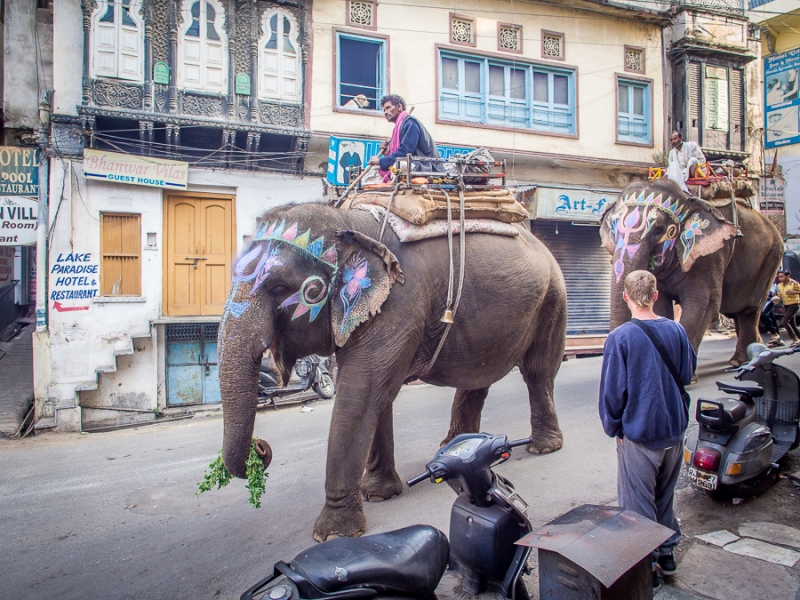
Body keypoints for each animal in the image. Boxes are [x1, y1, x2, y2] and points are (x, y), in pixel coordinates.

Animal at [217, 203, 568, 544]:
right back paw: (457, 446)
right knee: (477, 378)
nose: (261, 448)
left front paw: (334, 534)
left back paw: (542, 447)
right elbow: (377, 395)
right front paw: (378, 494)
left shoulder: (397, 304)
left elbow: (362, 391)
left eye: (279, 287)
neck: (346, 222)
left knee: (537, 372)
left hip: (554, 298)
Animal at [600, 178, 780, 366]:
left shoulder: (710, 258)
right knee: (738, 313)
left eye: (659, 230)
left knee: (749, 310)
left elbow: (702, 304)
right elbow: (660, 304)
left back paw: (743, 360)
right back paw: (753, 353)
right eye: (612, 229)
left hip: (772, 258)